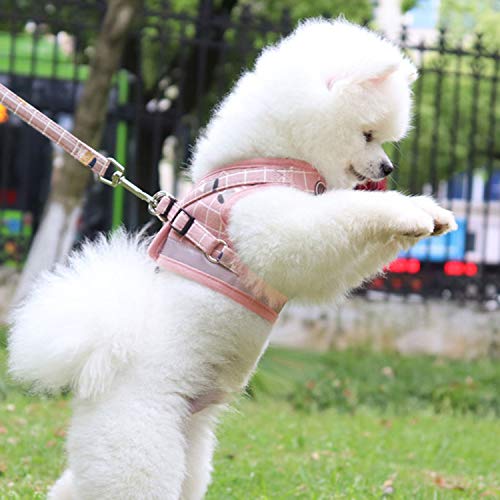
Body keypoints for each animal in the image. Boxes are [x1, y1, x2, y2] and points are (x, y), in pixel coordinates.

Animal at [7, 18, 458, 500]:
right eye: (368, 134)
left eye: (384, 141)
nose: (388, 167)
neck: (271, 158)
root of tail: (101, 367)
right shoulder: (269, 226)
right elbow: (342, 217)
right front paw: (406, 212)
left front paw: (430, 213)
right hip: (144, 451)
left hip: (185, 452)